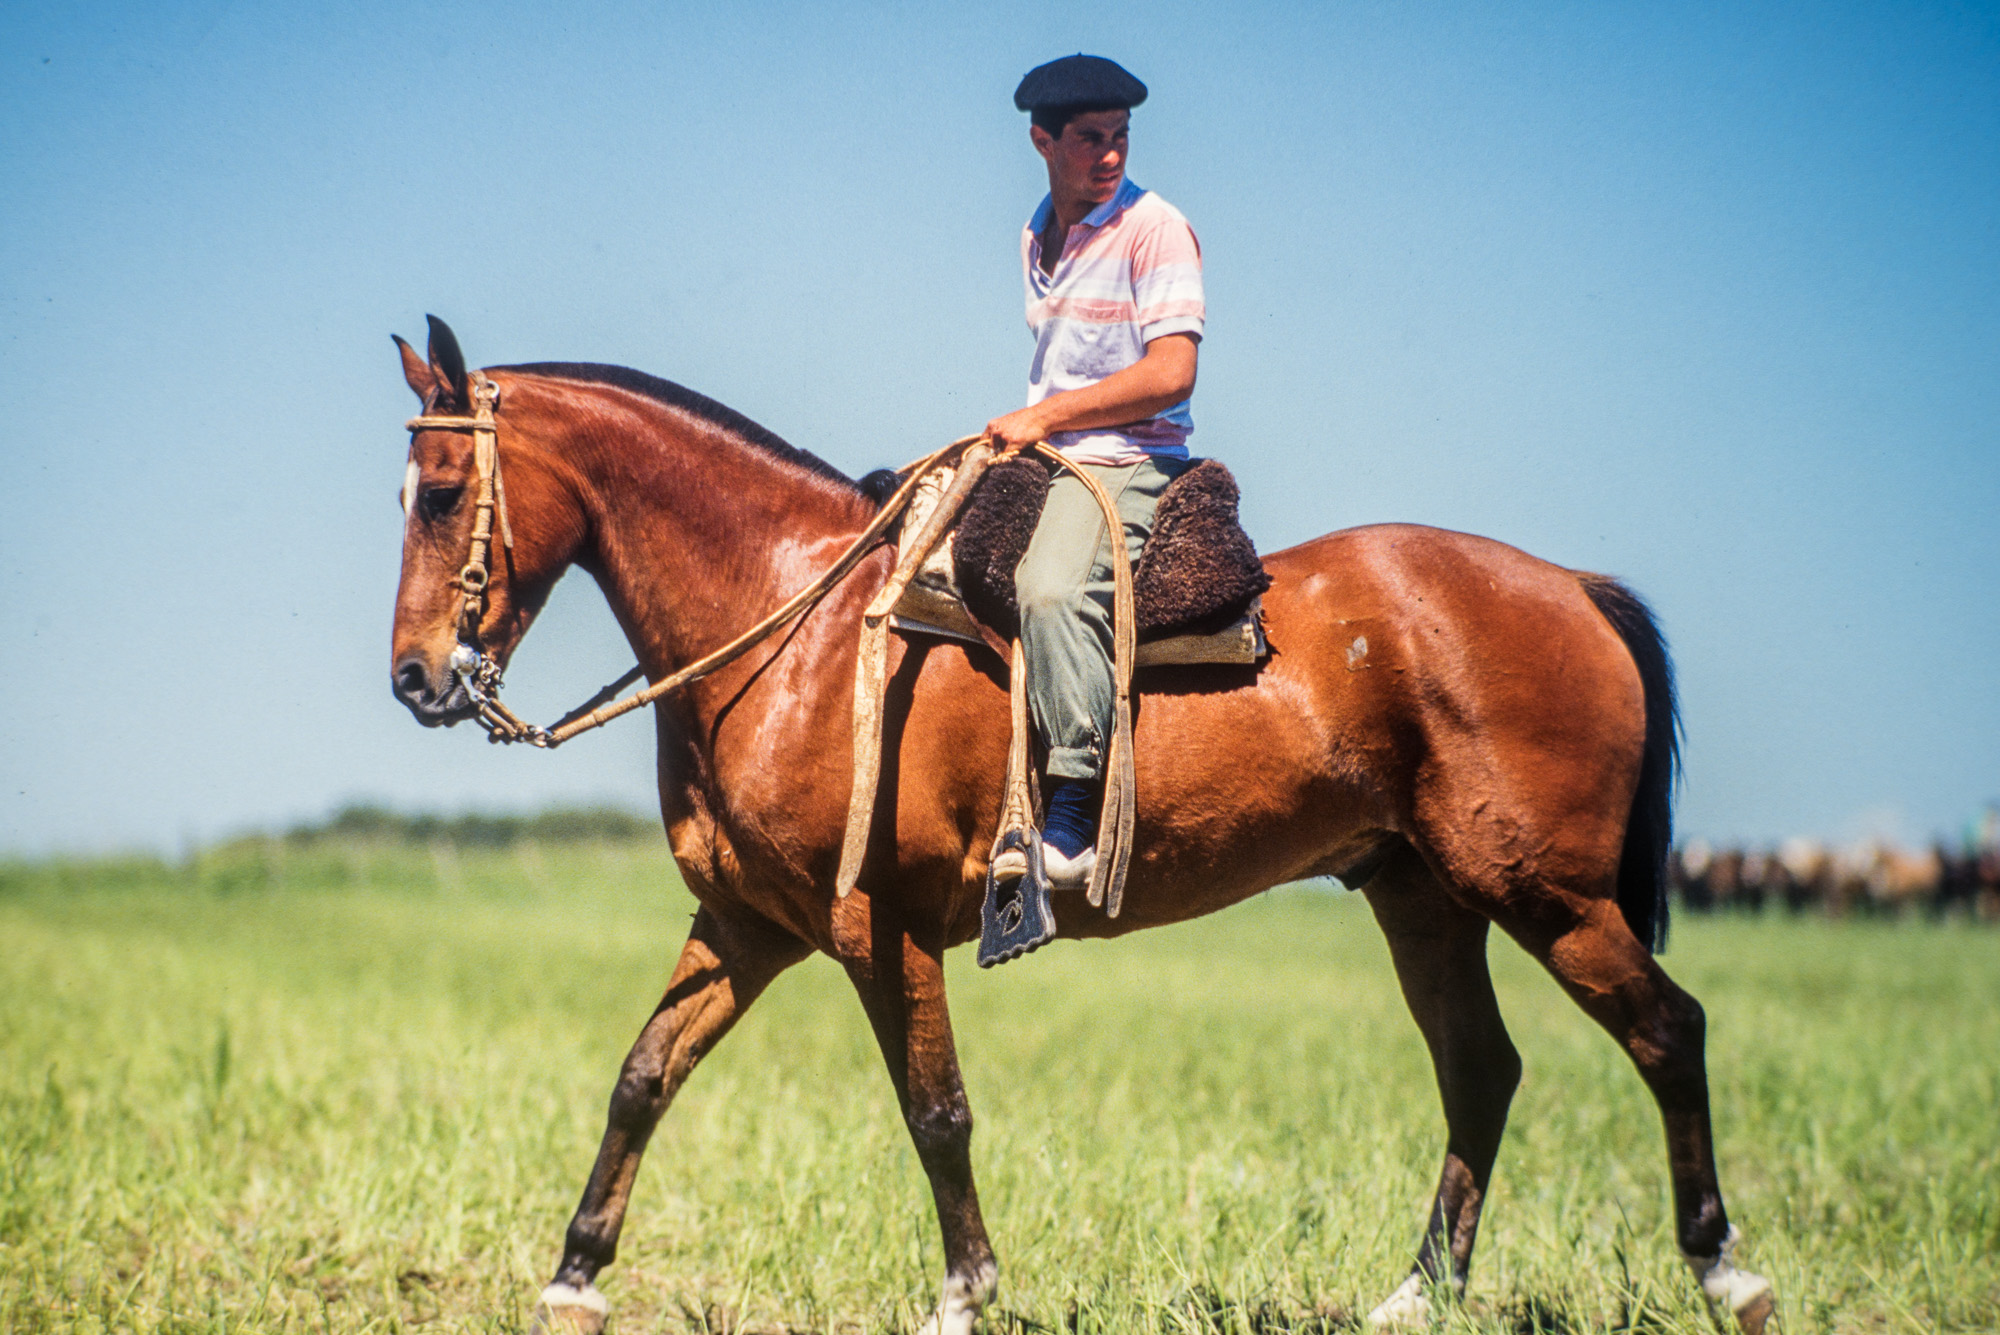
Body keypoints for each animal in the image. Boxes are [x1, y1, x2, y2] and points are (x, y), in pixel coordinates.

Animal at [386, 323, 1768, 1335]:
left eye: (442, 494)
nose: (414, 679)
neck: (799, 624)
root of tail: (1570, 587)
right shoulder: (744, 926)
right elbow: (643, 1076)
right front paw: (572, 1279)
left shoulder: (879, 928)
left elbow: (935, 1112)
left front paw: (966, 1298)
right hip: (1421, 897)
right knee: (1480, 1070)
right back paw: (1419, 1295)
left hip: (1543, 894)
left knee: (1666, 1030)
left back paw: (1725, 1273)